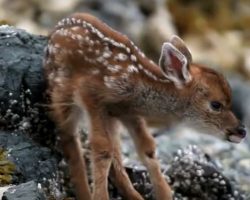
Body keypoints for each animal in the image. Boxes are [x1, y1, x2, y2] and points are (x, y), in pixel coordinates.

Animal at [43, 12, 246, 200]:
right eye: (216, 104)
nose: (241, 130)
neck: (137, 86)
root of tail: (54, 30)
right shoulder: (91, 95)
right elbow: (102, 149)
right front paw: (100, 197)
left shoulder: (126, 112)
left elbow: (147, 148)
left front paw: (165, 194)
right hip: (62, 91)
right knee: (70, 138)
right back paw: (85, 192)